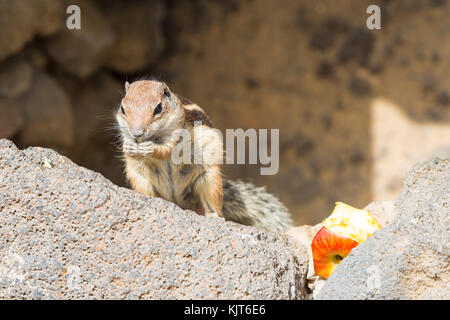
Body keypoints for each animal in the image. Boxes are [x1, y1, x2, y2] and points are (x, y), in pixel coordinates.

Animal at [116, 78, 292, 232]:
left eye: (158, 108)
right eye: (123, 109)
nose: (137, 134)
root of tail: (179, 202)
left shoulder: (176, 133)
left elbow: (165, 150)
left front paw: (150, 148)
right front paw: (128, 147)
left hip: (209, 180)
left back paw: (213, 215)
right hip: (141, 181)